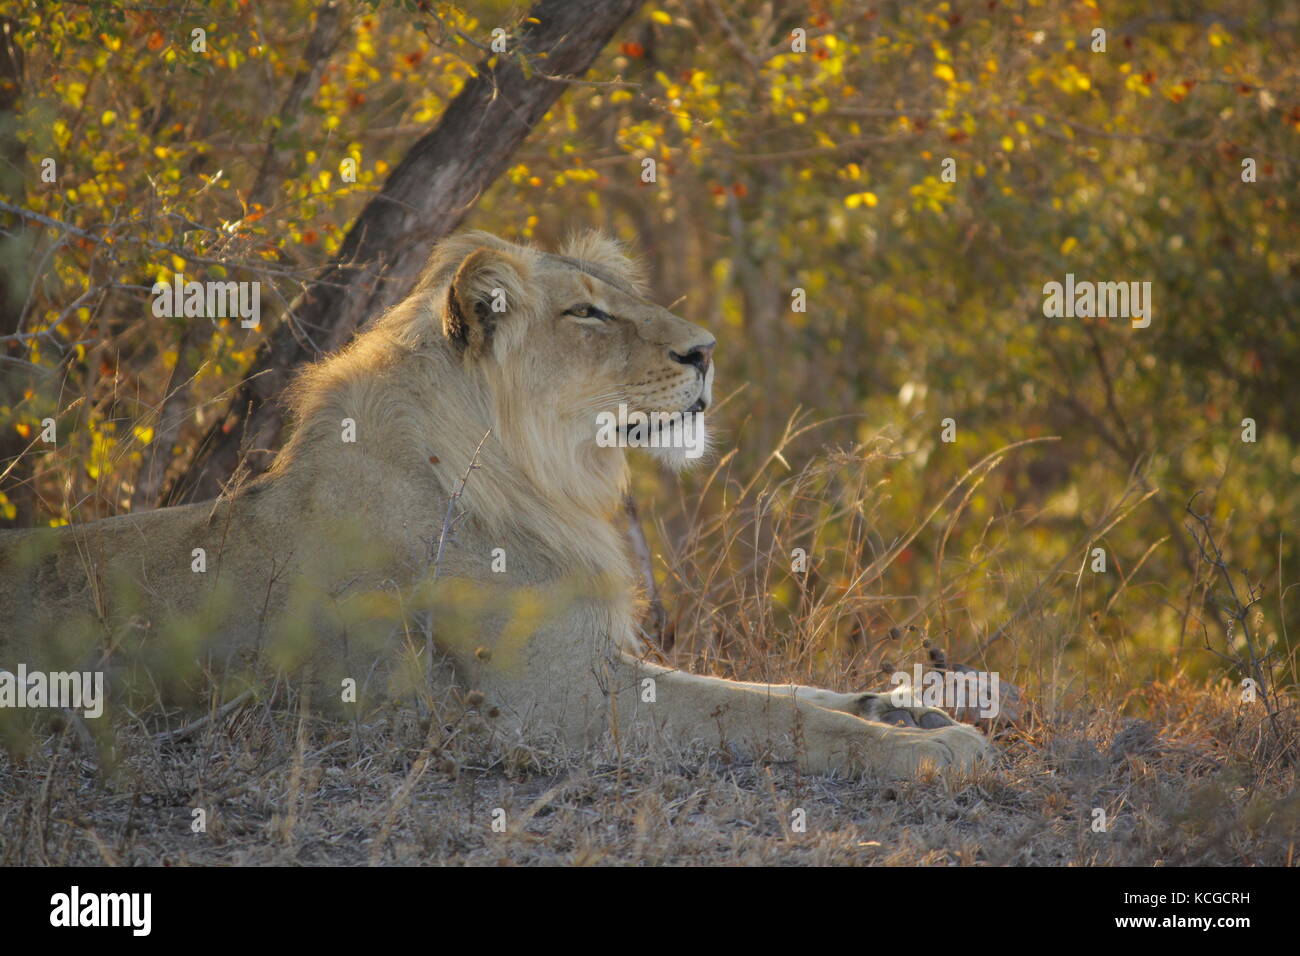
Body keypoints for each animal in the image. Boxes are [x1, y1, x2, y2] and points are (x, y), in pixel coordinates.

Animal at [0, 230, 989, 777]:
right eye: (588, 314)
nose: (707, 350)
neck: (546, 480)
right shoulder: (555, 705)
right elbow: (766, 714)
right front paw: (931, 753)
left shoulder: (598, 661)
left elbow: (782, 687)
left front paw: (911, 710)